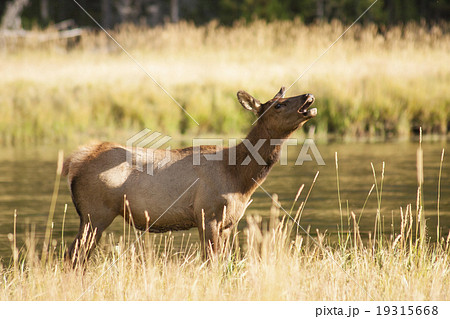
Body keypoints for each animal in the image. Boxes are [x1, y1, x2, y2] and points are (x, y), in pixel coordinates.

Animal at [62, 87, 316, 262]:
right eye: (278, 105)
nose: (308, 96)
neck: (240, 177)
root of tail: (73, 161)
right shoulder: (208, 213)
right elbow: (212, 262)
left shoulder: (228, 223)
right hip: (95, 213)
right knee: (73, 255)